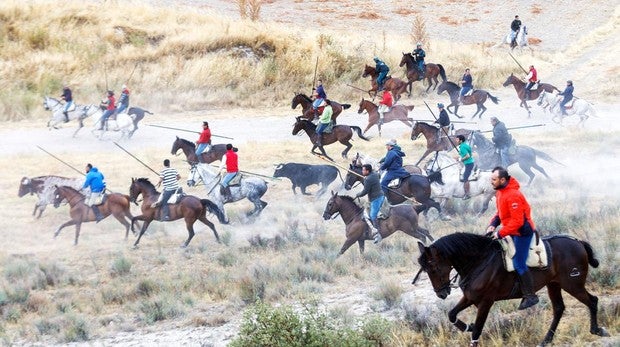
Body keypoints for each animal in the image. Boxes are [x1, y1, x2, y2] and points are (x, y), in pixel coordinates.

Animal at [416, 232, 612, 347]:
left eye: (433, 268)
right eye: (425, 270)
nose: (441, 293)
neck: (479, 261)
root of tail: (578, 242)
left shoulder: (486, 302)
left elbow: (478, 330)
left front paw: (472, 329)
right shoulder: (471, 298)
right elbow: (452, 314)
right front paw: (467, 326)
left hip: (572, 285)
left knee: (592, 301)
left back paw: (597, 330)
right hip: (554, 285)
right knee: (559, 308)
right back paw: (546, 340)